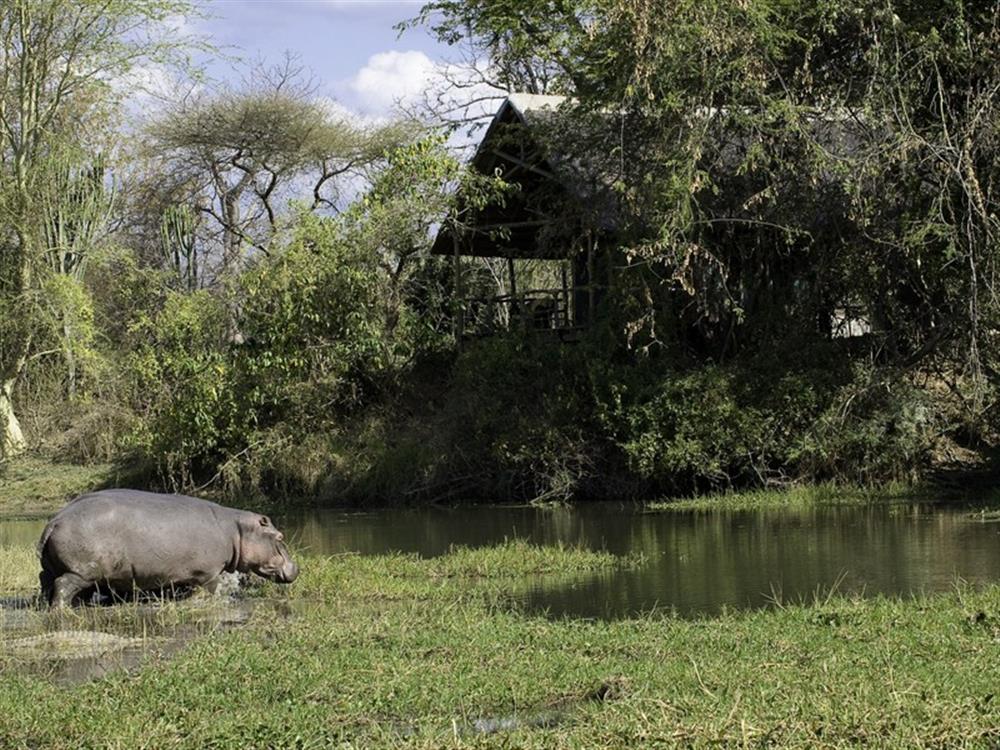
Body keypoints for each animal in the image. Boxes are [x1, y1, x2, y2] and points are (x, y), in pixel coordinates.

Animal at [36, 490, 300, 608]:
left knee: (47, 582)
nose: (296, 567)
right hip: (80, 572)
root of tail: (55, 521)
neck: (235, 530)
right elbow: (214, 589)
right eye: (280, 536)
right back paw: (63, 610)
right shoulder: (210, 573)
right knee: (63, 586)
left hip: (54, 568)